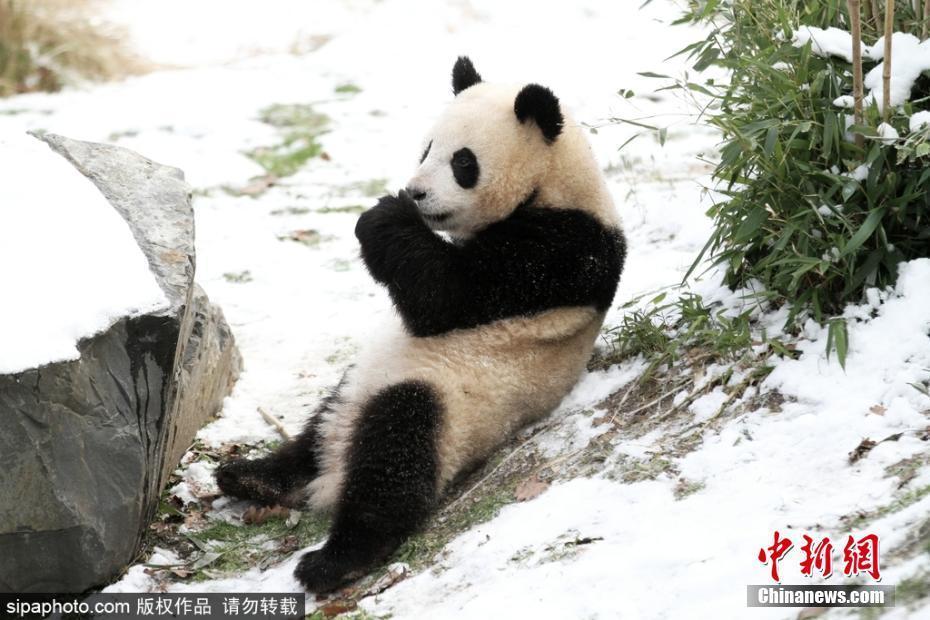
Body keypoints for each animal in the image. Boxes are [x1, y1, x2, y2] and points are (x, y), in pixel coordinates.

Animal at [214, 57, 628, 592]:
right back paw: (249, 475)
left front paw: (383, 214)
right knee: (314, 433)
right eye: (427, 148)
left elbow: (447, 296)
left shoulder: (562, 251)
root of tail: (333, 470)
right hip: (357, 384)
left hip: (451, 402)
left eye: (463, 162)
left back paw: (335, 560)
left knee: (396, 454)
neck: (556, 183)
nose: (416, 192)